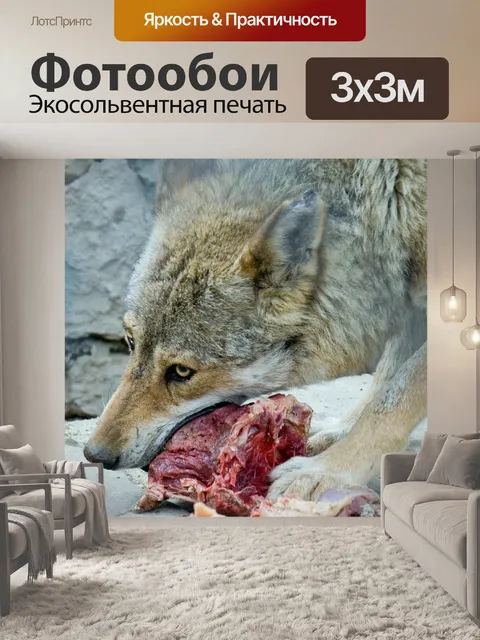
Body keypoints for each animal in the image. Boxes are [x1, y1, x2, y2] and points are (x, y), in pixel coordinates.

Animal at [84, 159, 427, 501]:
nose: (94, 454)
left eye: (181, 372)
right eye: (131, 341)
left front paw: (327, 472)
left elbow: (393, 399)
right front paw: (339, 431)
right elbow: (384, 383)